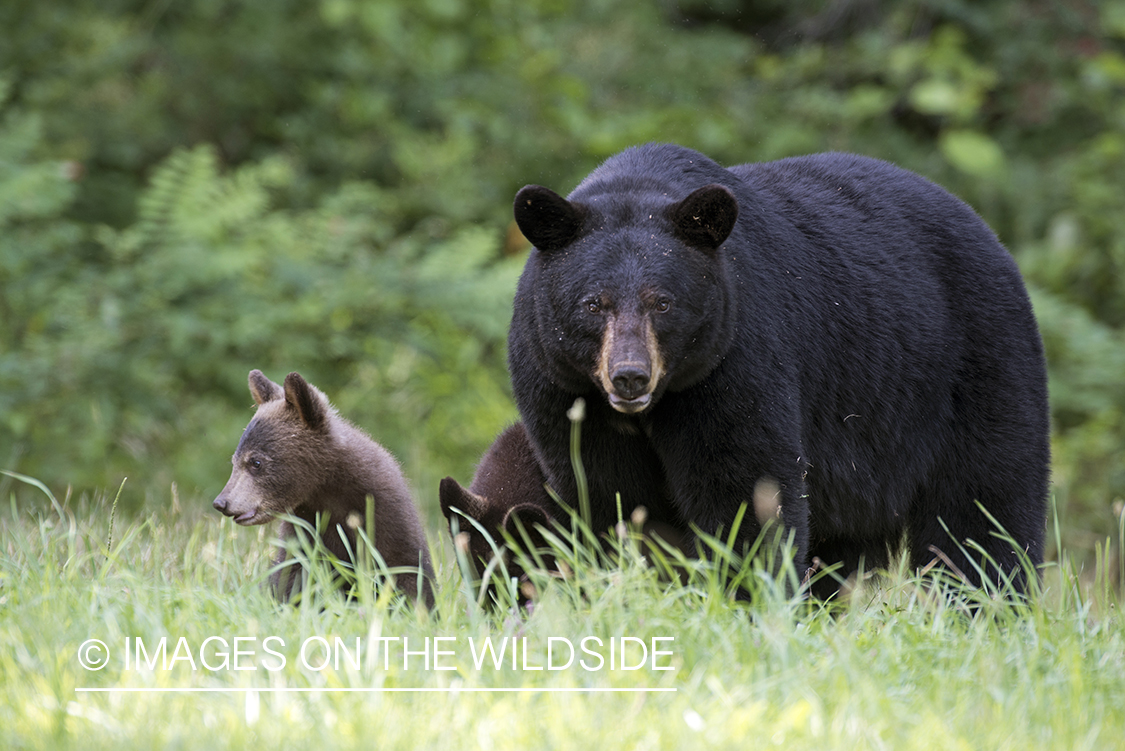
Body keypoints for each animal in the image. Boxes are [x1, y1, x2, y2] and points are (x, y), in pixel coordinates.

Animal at [508, 142, 1044, 593]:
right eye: (593, 304)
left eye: (662, 302)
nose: (630, 376)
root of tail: (990, 236)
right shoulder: (562, 387)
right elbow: (602, 492)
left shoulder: (737, 357)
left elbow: (745, 487)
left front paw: (745, 596)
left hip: (974, 366)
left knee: (985, 505)